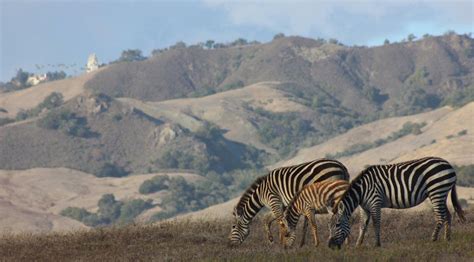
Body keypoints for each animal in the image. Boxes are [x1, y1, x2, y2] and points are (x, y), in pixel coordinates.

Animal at [328, 157, 464, 249]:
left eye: (337, 225)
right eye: (329, 225)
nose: (330, 246)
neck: (361, 191)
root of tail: (448, 164)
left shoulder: (375, 202)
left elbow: (376, 224)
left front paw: (377, 244)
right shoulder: (364, 207)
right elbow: (362, 225)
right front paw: (358, 245)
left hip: (437, 190)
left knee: (441, 216)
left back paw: (433, 239)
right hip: (441, 193)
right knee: (447, 215)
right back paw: (447, 239)